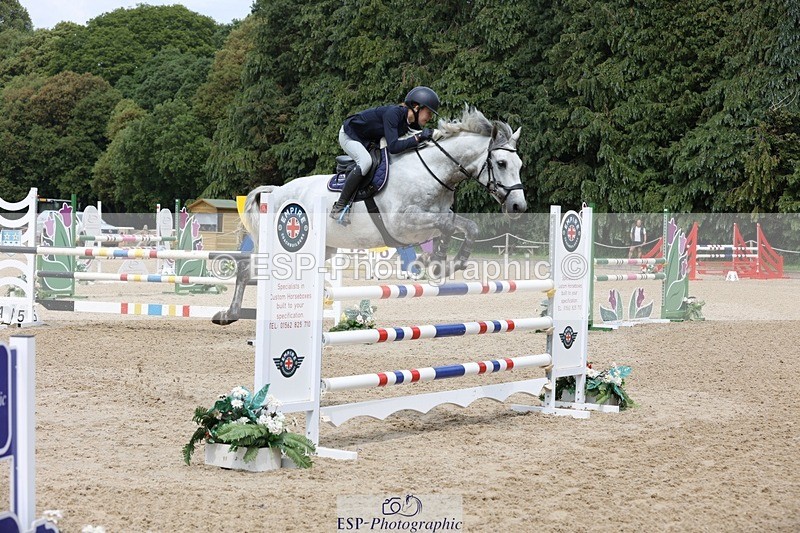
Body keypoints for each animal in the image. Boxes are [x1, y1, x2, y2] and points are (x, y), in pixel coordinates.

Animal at [212, 106, 526, 325]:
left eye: (519, 164)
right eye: (501, 163)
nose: (518, 207)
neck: (433, 170)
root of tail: (276, 191)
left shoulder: (432, 219)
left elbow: (456, 228)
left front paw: (440, 263)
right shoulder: (404, 224)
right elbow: (456, 225)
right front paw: (446, 263)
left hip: (322, 249)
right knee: (247, 269)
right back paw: (228, 314)